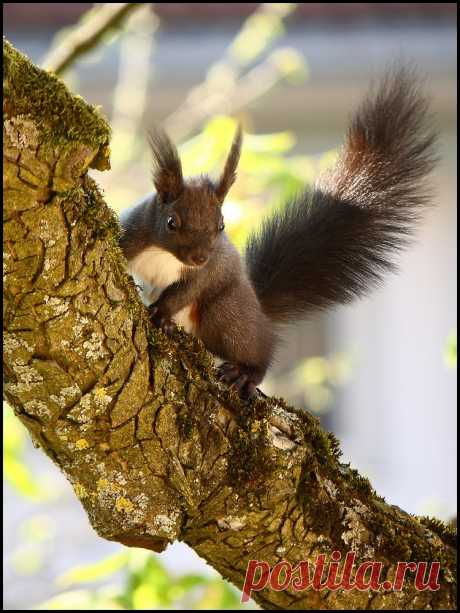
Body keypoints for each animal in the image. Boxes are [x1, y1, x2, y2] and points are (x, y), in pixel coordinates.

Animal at [118, 67, 434, 400]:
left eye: (221, 226)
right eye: (171, 223)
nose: (199, 257)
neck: (165, 254)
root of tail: (258, 307)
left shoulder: (205, 273)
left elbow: (185, 291)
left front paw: (161, 313)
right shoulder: (135, 231)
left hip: (225, 313)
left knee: (258, 348)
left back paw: (246, 373)